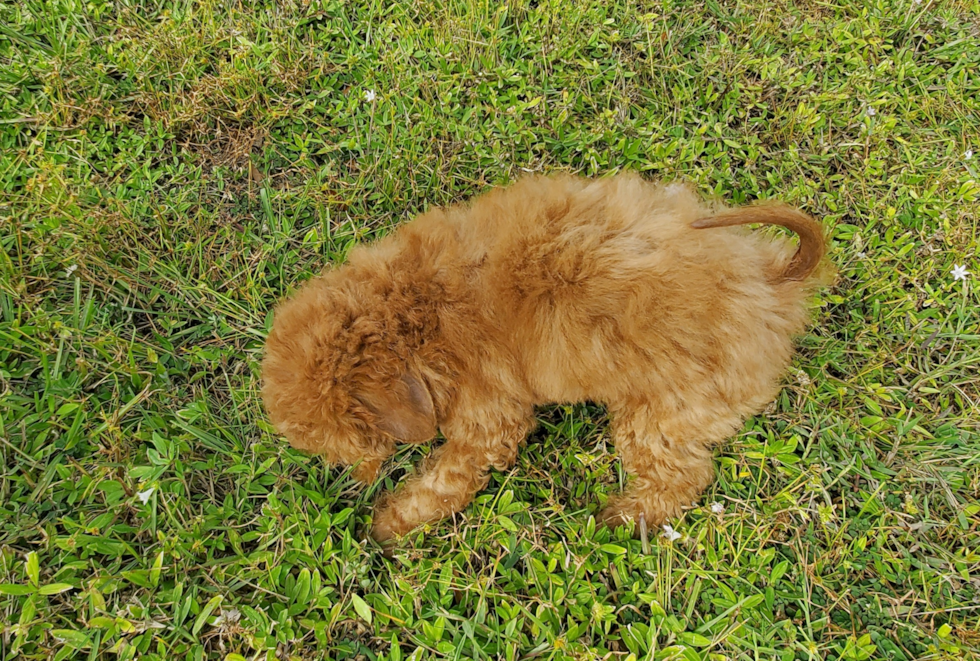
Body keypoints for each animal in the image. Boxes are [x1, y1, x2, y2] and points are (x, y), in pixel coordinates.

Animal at [260, 173, 828, 544]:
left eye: (354, 442)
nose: (355, 480)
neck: (412, 313)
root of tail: (772, 281)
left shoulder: (488, 418)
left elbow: (448, 479)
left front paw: (390, 524)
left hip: (662, 412)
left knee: (681, 476)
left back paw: (621, 519)